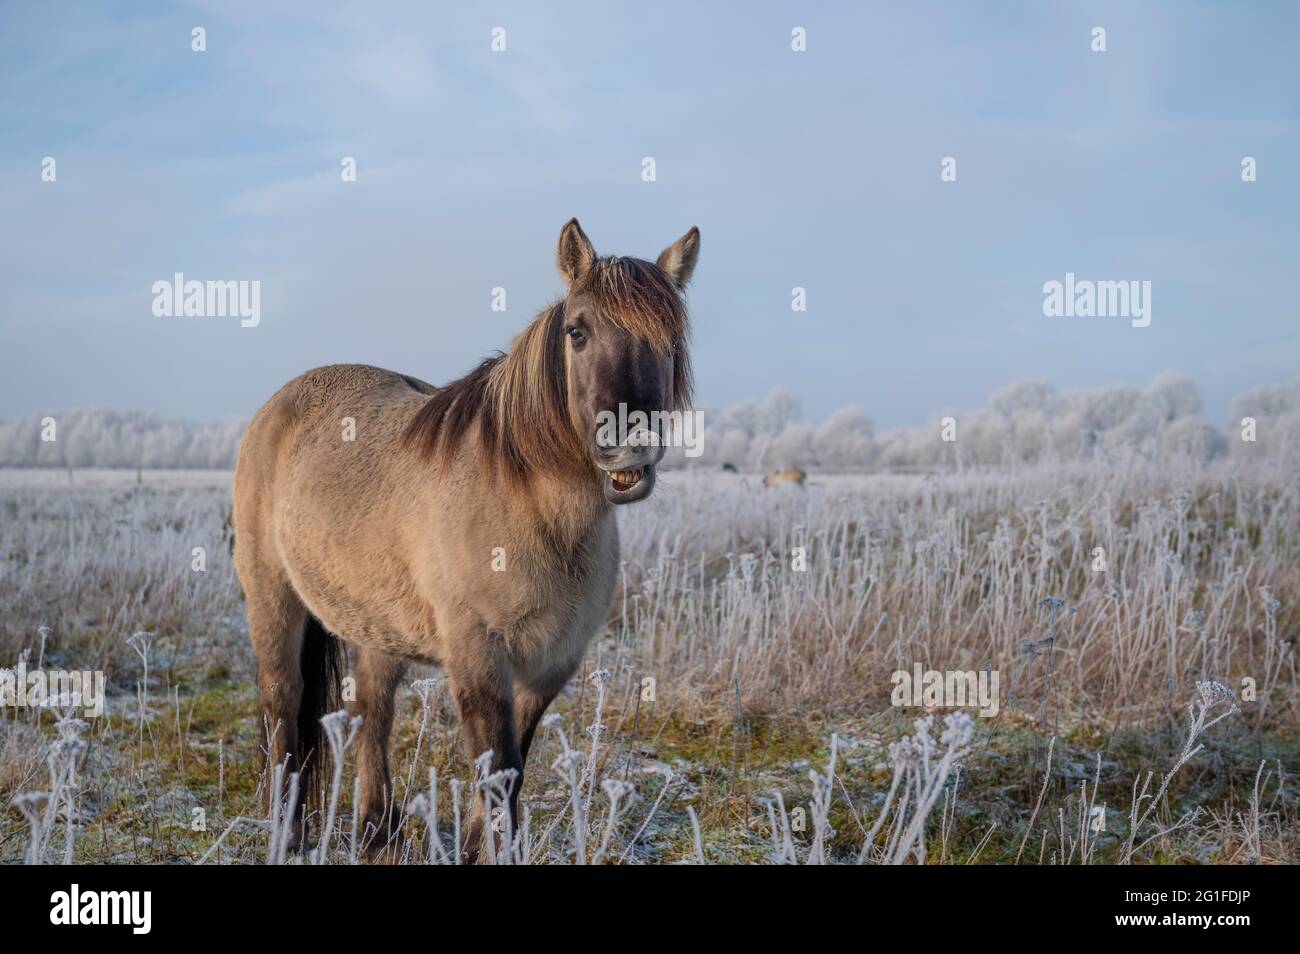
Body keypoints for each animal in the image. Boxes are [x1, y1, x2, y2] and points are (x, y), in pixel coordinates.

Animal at [232, 219, 698, 860]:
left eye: (670, 339)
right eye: (577, 332)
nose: (628, 446)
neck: (533, 509)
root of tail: (278, 406)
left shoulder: (550, 664)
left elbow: (512, 768)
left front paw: (482, 847)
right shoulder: (478, 654)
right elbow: (495, 767)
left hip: (380, 625)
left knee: (372, 709)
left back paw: (379, 829)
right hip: (273, 598)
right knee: (282, 704)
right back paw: (289, 831)